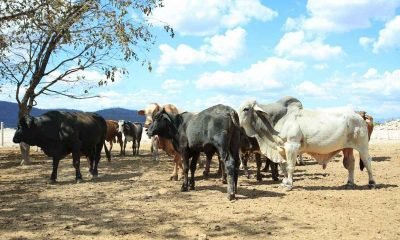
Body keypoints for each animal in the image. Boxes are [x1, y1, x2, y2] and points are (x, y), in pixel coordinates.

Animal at [239, 96, 376, 190]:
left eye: (246, 109)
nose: (238, 123)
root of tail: (359, 116)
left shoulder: (292, 146)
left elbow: (290, 166)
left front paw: (289, 185)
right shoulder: (281, 149)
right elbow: (283, 167)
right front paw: (284, 182)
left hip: (362, 146)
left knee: (367, 161)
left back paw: (372, 183)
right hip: (347, 147)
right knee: (350, 163)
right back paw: (350, 183)